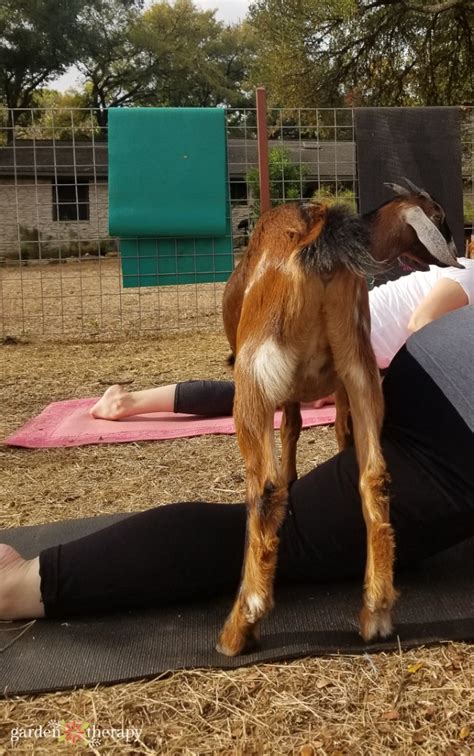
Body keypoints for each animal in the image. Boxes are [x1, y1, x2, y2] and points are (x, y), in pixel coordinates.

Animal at [218, 179, 462, 656]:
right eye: (439, 217)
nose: (456, 251)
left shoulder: (282, 386)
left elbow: (292, 429)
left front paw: (293, 476)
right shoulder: (343, 386)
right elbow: (332, 431)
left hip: (253, 378)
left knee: (266, 490)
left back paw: (241, 625)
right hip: (360, 366)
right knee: (375, 475)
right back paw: (377, 610)